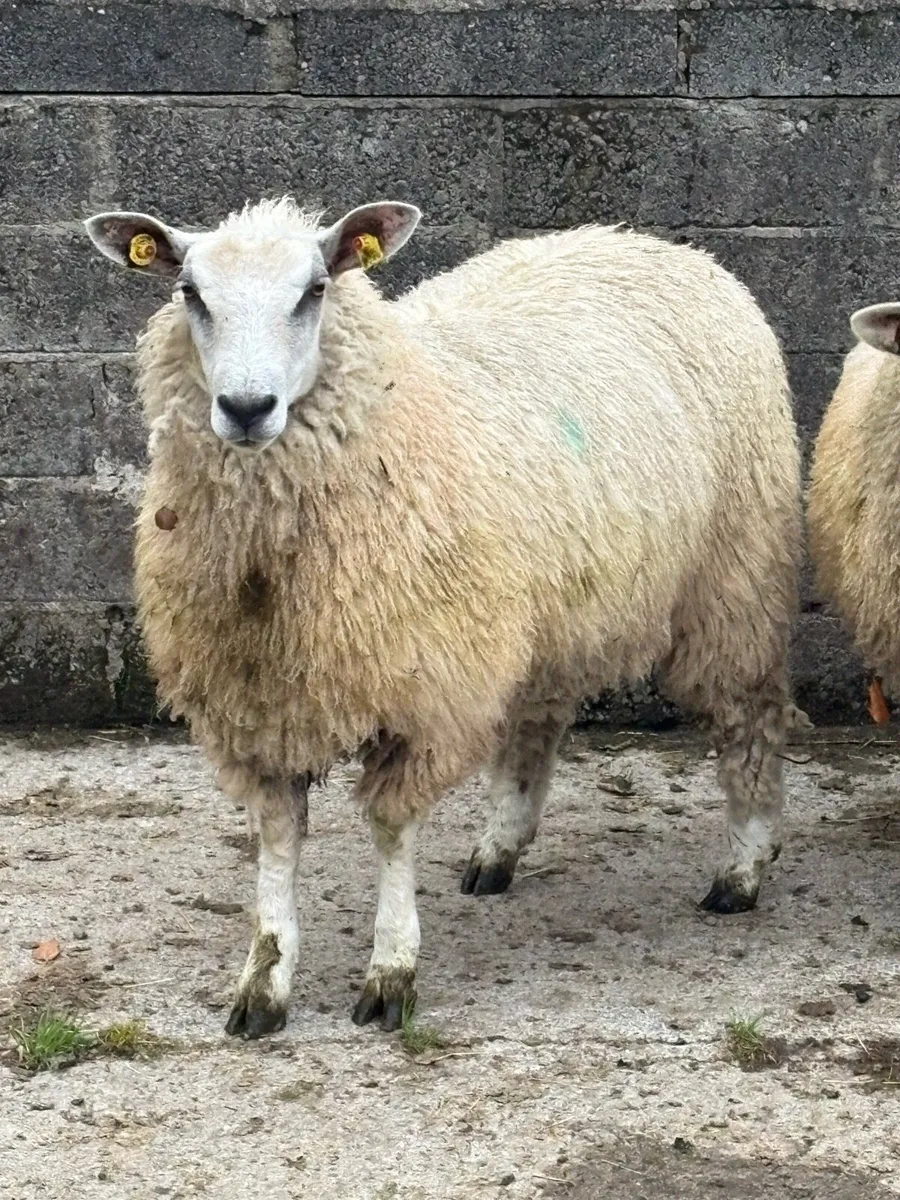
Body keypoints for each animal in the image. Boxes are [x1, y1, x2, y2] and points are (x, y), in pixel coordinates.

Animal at [84, 197, 803, 1039]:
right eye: (190, 292)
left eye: (315, 289)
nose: (247, 408)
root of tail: (658, 244)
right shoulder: (258, 701)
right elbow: (278, 839)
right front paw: (264, 982)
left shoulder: (423, 692)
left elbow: (392, 830)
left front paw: (391, 972)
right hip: (547, 600)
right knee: (537, 719)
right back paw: (500, 851)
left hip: (734, 581)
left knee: (749, 716)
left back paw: (743, 870)